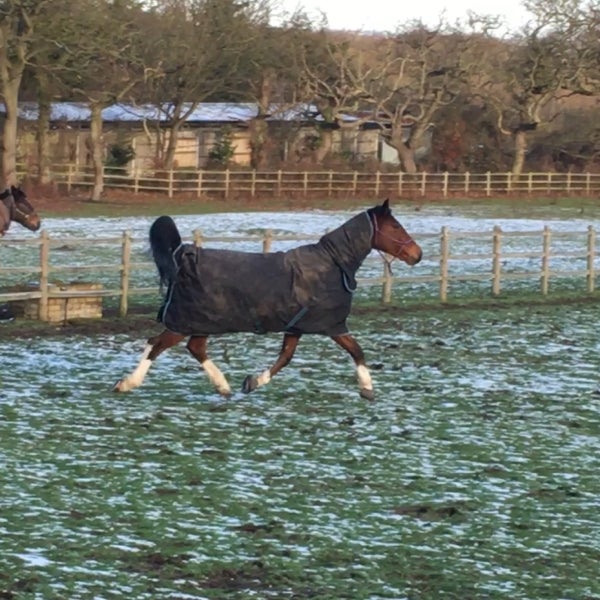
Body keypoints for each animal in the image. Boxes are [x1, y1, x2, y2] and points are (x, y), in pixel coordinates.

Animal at [113, 199, 422, 400]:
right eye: (395, 227)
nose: (416, 255)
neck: (332, 264)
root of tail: (183, 253)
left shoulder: (296, 326)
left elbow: (285, 358)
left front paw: (252, 382)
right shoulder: (331, 326)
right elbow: (356, 351)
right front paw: (367, 389)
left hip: (202, 322)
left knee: (193, 348)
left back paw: (223, 387)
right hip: (186, 322)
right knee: (157, 345)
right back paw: (128, 383)